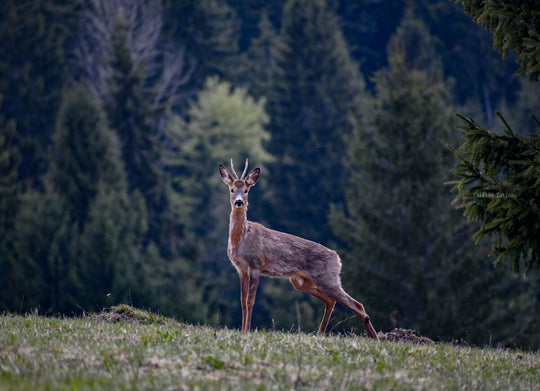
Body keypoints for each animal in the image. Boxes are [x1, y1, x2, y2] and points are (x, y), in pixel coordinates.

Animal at [217, 159, 378, 340]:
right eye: (232, 189)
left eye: (246, 190)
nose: (239, 202)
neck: (241, 237)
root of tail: (337, 258)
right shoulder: (241, 269)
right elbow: (243, 301)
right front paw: (243, 330)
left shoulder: (256, 265)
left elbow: (250, 301)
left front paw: (247, 330)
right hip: (301, 281)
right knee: (331, 301)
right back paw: (320, 333)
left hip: (328, 278)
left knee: (357, 305)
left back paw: (376, 338)